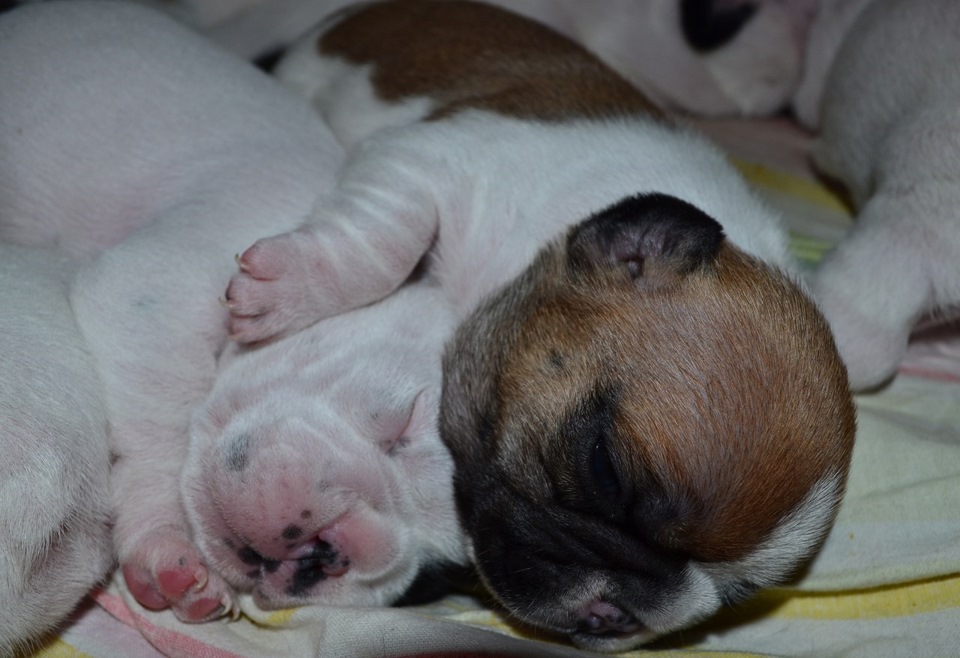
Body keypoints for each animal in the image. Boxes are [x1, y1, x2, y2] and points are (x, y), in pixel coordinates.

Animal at [227, 0, 856, 648]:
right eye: (604, 471)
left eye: (733, 599)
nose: (615, 615)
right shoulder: (426, 163)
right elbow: (388, 241)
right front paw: (289, 286)